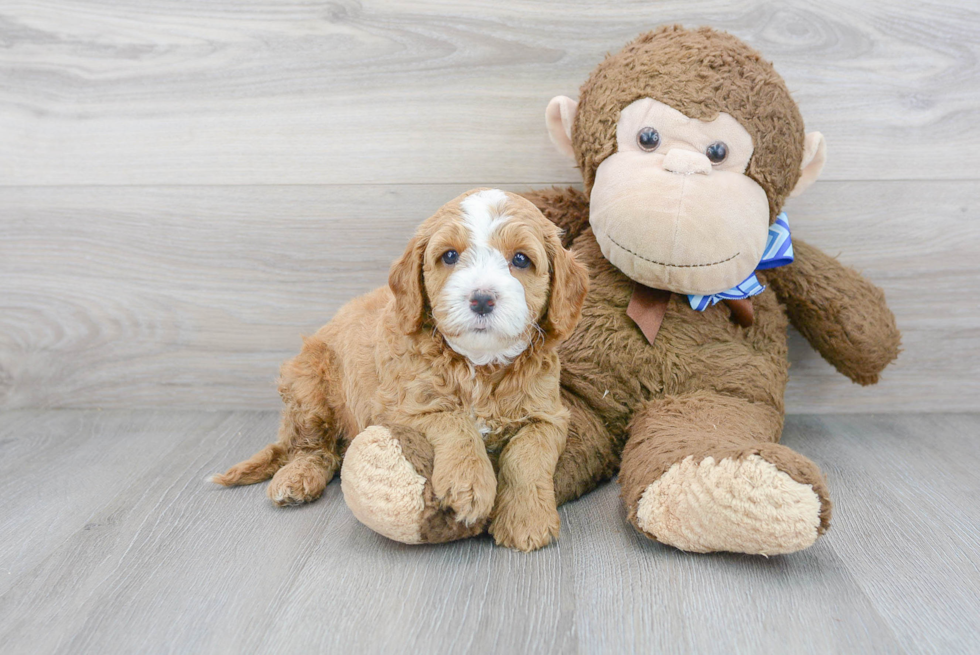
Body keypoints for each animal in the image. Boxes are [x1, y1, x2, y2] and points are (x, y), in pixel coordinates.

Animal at [212, 190, 588, 552]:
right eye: (449, 256)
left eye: (521, 259)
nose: (481, 299)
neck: (479, 364)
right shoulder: (402, 406)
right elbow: (454, 420)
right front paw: (469, 484)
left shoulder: (548, 414)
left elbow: (528, 455)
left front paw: (527, 520)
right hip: (308, 388)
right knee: (314, 448)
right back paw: (296, 478)